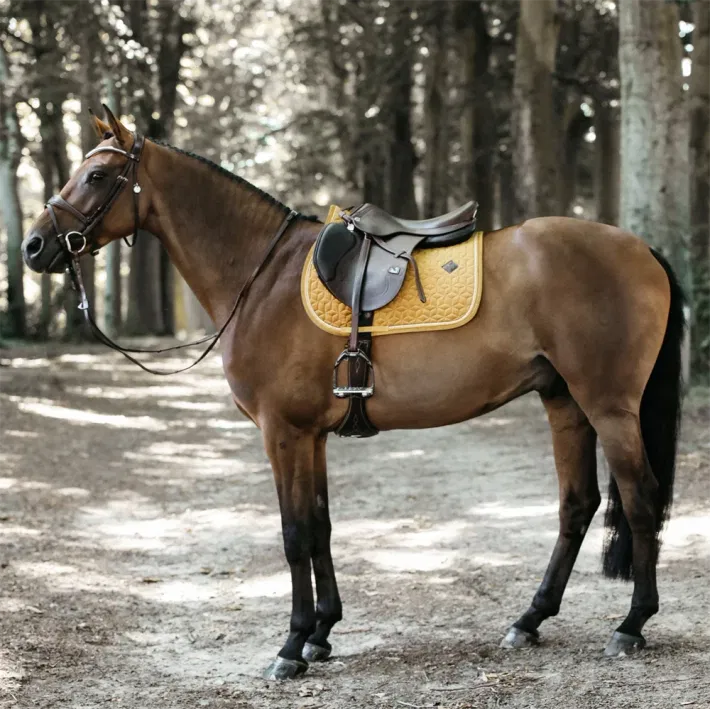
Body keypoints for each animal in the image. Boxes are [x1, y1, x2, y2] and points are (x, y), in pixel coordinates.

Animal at [21, 106, 685, 680]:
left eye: (97, 175)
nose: (33, 246)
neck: (262, 277)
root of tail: (639, 248)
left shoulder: (282, 432)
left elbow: (293, 534)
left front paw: (291, 646)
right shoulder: (309, 435)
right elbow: (320, 525)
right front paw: (321, 632)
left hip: (609, 406)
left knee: (641, 499)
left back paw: (631, 624)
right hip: (564, 402)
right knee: (578, 504)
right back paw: (530, 619)